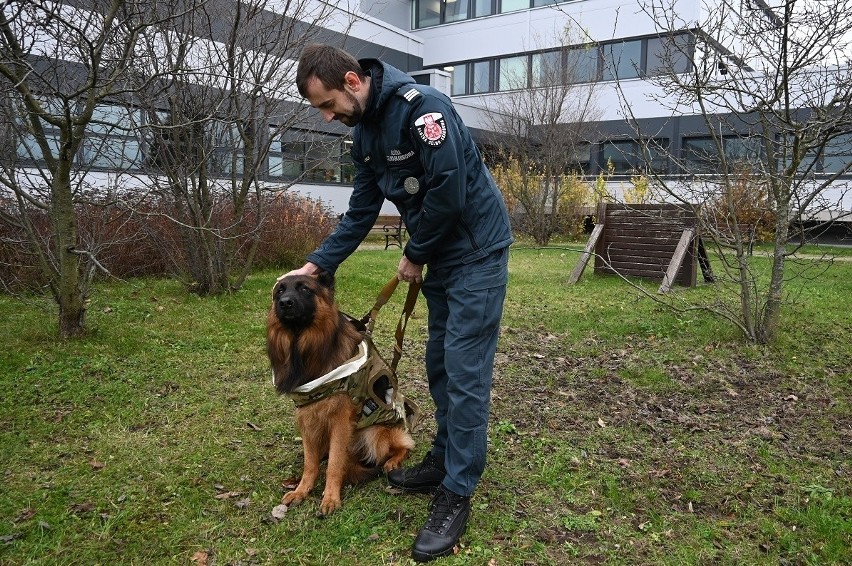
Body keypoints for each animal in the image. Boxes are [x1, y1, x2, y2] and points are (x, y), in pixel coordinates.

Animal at [264, 272, 414, 516]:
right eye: (280, 291)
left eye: (304, 289)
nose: (284, 303)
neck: (304, 346)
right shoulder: (307, 416)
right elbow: (310, 463)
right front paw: (301, 490)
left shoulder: (341, 420)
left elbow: (335, 463)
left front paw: (330, 498)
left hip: (375, 434)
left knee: (404, 445)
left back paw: (393, 461)